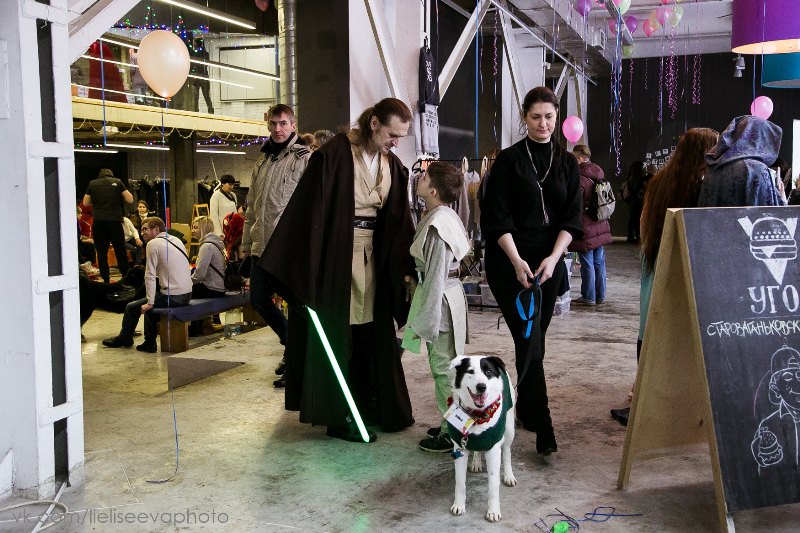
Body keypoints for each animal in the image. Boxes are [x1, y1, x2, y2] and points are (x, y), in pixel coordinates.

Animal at [447, 355, 516, 522]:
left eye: (488, 372)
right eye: (470, 371)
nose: (481, 387)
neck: (477, 415)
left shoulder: (493, 450)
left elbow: (493, 484)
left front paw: (493, 511)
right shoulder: (459, 448)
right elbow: (460, 482)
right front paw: (459, 505)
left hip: (509, 428)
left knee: (507, 451)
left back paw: (509, 475)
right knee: (477, 448)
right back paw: (476, 462)